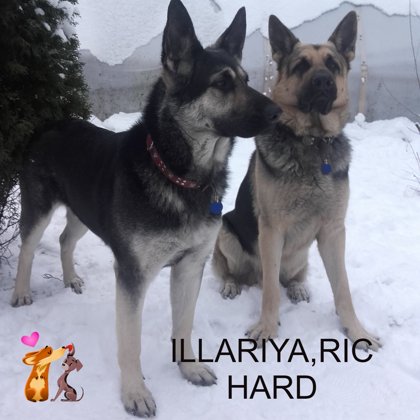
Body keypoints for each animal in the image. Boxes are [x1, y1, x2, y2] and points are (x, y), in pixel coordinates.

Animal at [11, 0, 279, 416]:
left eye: (247, 78)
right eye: (221, 83)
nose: (278, 113)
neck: (179, 173)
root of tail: (50, 122)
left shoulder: (190, 266)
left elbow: (184, 325)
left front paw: (189, 368)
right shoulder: (132, 275)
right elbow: (130, 342)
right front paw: (135, 393)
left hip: (84, 211)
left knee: (65, 239)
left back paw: (71, 278)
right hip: (39, 207)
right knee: (28, 247)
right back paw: (22, 293)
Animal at [213, 11, 381, 351]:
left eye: (332, 65)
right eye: (301, 66)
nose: (323, 82)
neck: (313, 142)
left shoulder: (333, 231)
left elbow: (343, 288)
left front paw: (357, 331)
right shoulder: (271, 230)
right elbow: (269, 292)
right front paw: (266, 329)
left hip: (300, 254)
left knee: (288, 277)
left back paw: (298, 287)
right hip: (226, 231)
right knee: (239, 273)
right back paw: (231, 284)